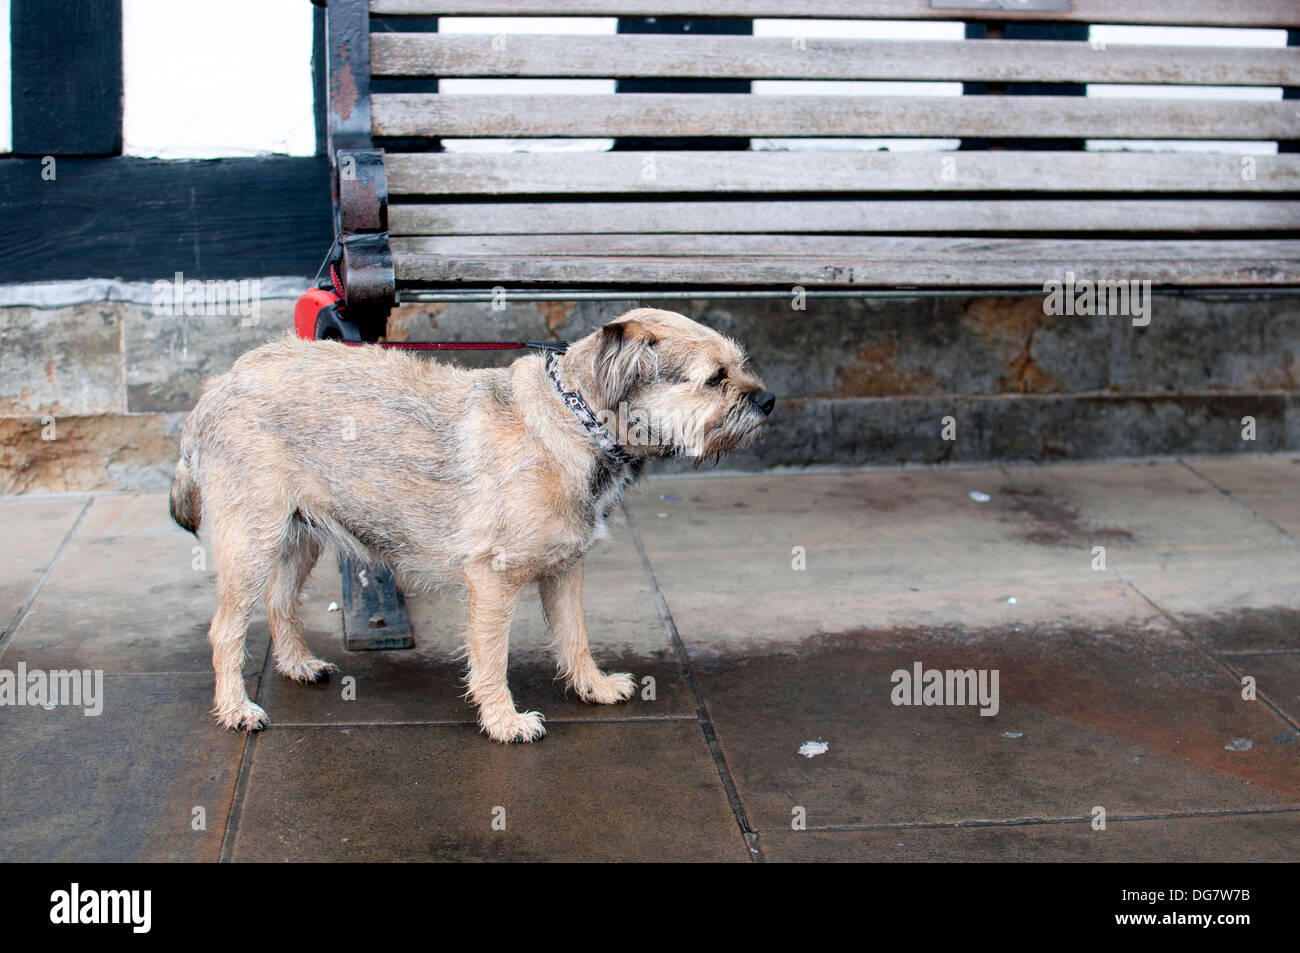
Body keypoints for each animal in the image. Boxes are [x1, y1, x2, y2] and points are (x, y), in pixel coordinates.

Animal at [163, 308, 769, 738]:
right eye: (715, 379)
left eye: (738, 366)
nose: (768, 400)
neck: (576, 420)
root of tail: (216, 386)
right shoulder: (492, 582)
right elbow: (491, 658)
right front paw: (503, 721)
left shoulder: (564, 572)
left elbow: (574, 636)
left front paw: (592, 687)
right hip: (252, 540)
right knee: (227, 628)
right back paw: (236, 709)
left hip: (298, 537)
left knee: (280, 601)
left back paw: (295, 664)